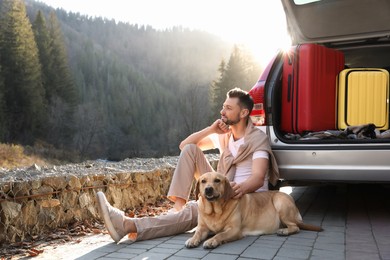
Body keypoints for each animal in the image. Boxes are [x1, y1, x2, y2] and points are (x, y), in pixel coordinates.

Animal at [186, 172, 322, 249]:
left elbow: (220, 234)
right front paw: (192, 240)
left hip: (280, 201)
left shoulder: (234, 230)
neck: (215, 211)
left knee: (295, 227)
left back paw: (284, 231)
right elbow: (197, 233)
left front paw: (211, 241)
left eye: (217, 180)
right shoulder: (202, 227)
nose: (208, 189)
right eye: (203, 181)